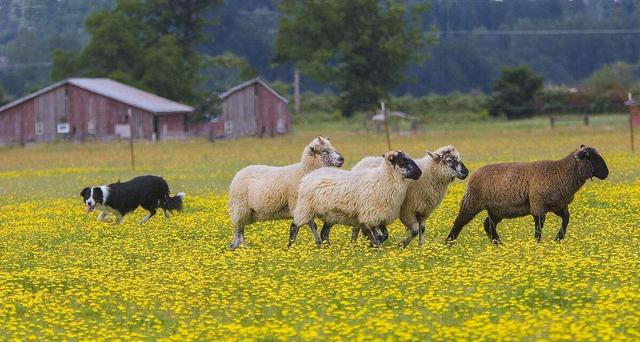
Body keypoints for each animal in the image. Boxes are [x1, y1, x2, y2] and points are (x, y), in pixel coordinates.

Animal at [288, 151, 420, 247]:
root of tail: (308, 176)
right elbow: (379, 236)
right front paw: (377, 248)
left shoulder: (380, 214)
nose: (419, 173)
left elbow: (385, 235)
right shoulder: (371, 214)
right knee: (294, 226)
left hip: (330, 214)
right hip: (305, 207)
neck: (384, 178)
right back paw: (290, 246)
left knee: (324, 233)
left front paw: (373, 246)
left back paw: (328, 248)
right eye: (402, 160)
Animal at [444, 144, 608, 243]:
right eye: (591, 157)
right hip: (472, 201)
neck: (561, 172)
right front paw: (538, 244)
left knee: (488, 225)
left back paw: (499, 244)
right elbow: (538, 228)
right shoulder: (538, 205)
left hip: (497, 210)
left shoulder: (558, 206)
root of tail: (474, 173)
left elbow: (566, 220)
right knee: (459, 222)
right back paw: (448, 244)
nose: (606, 173)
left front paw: (558, 238)